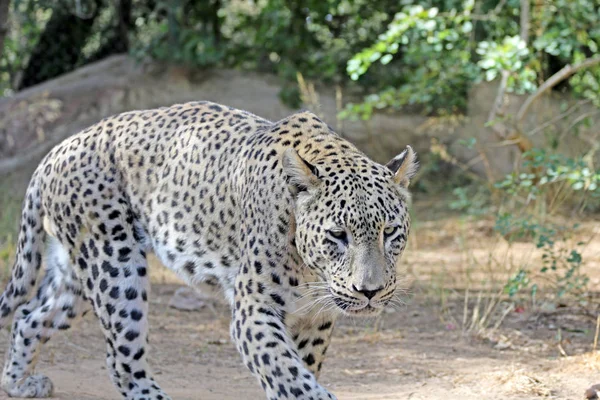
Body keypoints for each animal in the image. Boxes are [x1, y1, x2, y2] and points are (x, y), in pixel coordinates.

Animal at [0, 101, 418, 398]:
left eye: (390, 232)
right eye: (338, 235)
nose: (370, 292)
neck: (310, 271)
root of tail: (56, 150)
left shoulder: (316, 319)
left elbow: (299, 371)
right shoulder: (254, 310)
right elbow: (291, 377)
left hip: (74, 272)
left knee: (29, 317)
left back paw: (19, 384)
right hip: (114, 266)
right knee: (120, 358)